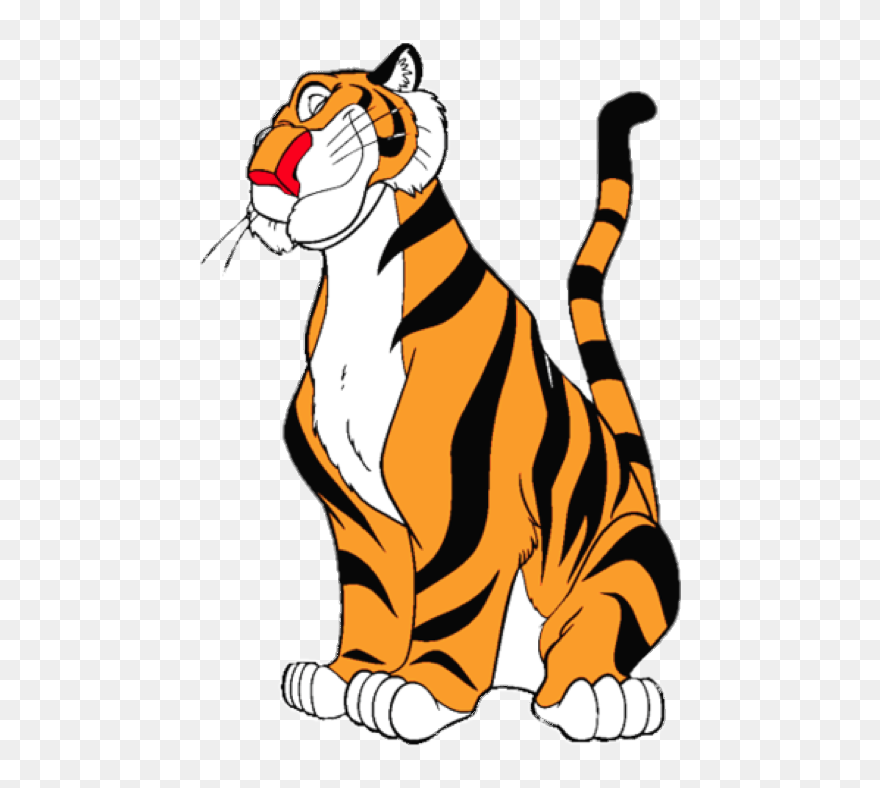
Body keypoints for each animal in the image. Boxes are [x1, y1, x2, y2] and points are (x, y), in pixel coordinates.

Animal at [205, 43, 680, 743]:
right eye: (293, 108)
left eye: (325, 106)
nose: (268, 168)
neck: (355, 281)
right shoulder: (358, 513)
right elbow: (374, 599)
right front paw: (346, 676)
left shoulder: (469, 503)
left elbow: (454, 603)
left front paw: (415, 690)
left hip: (628, 550)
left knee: (585, 632)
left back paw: (598, 695)